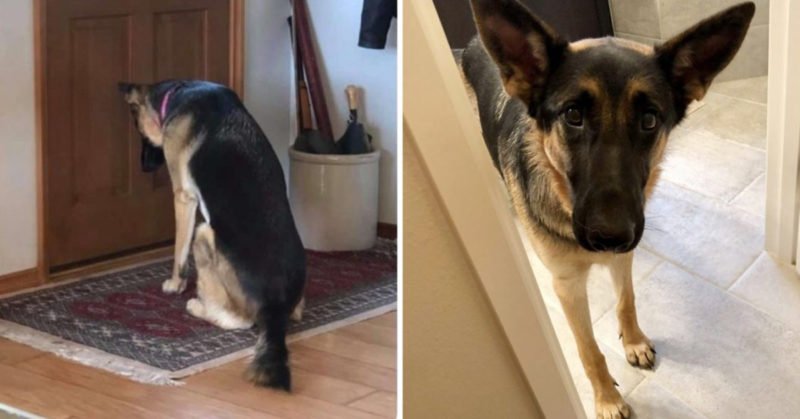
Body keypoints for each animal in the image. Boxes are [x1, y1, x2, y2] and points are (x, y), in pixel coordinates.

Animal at [462, 1, 752, 418]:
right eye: (573, 115)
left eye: (649, 120)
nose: (610, 236)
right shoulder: (567, 287)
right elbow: (588, 350)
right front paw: (607, 398)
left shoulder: (624, 257)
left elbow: (626, 301)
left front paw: (633, 342)